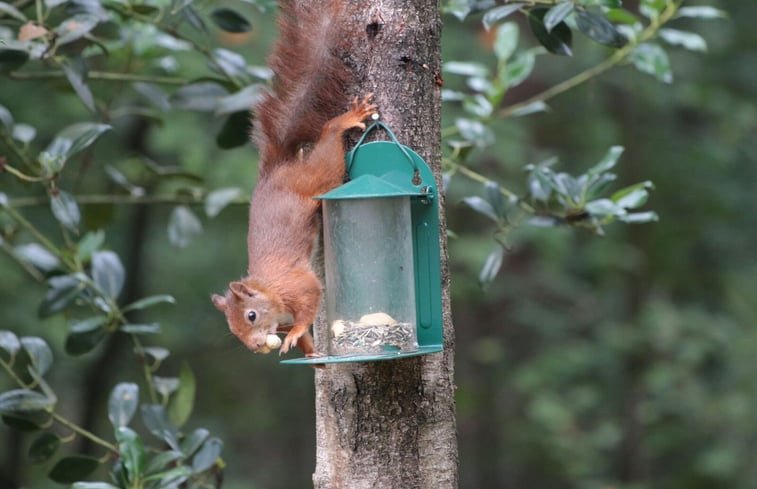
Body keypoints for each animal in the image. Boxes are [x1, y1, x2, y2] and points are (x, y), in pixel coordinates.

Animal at [211, 0, 376, 358]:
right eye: (232, 328)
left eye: (251, 315)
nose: (256, 347)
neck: (270, 288)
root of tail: (276, 170)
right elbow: (300, 335)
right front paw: (311, 354)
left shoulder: (299, 285)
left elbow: (310, 301)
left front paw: (297, 332)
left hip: (319, 176)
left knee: (328, 138)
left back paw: (346, 120)